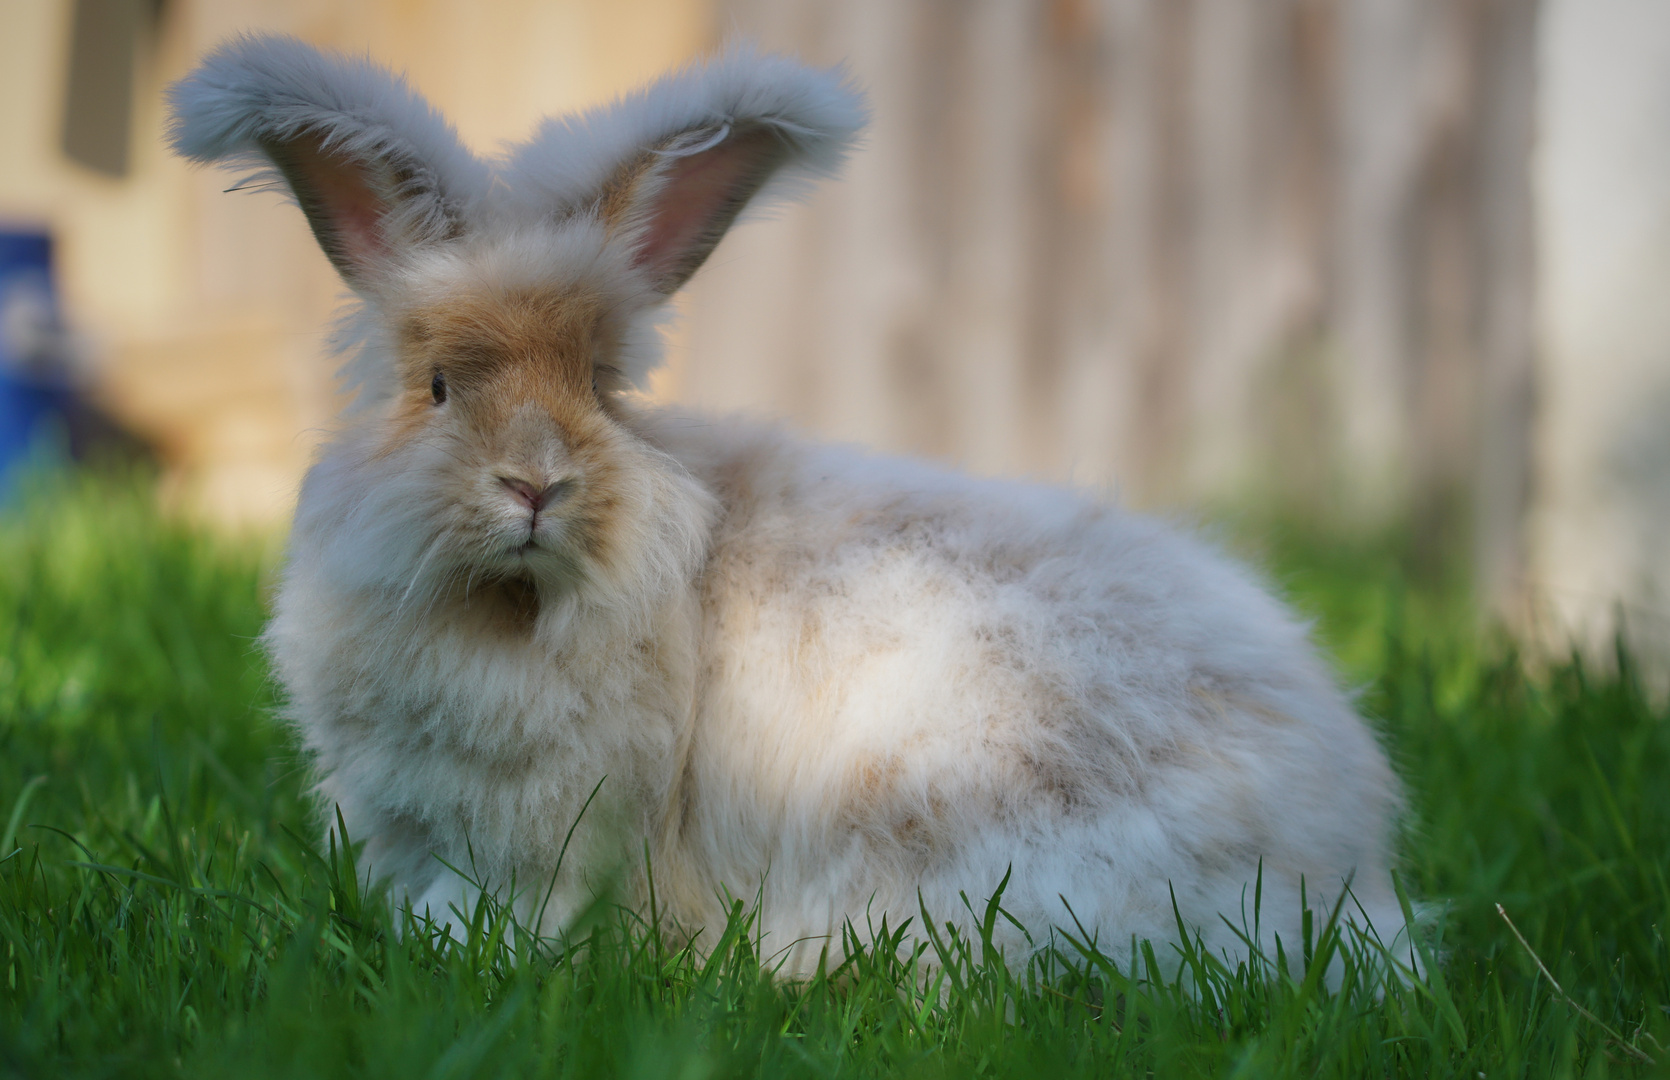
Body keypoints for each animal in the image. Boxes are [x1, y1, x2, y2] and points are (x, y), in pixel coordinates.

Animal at [172, 33, 1422, 981]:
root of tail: (1342, 879)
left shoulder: (548, 843)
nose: (534, 484)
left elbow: (517, 911)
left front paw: (452, 948)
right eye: (434, 387)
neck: (510, 607)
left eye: (601, 384)